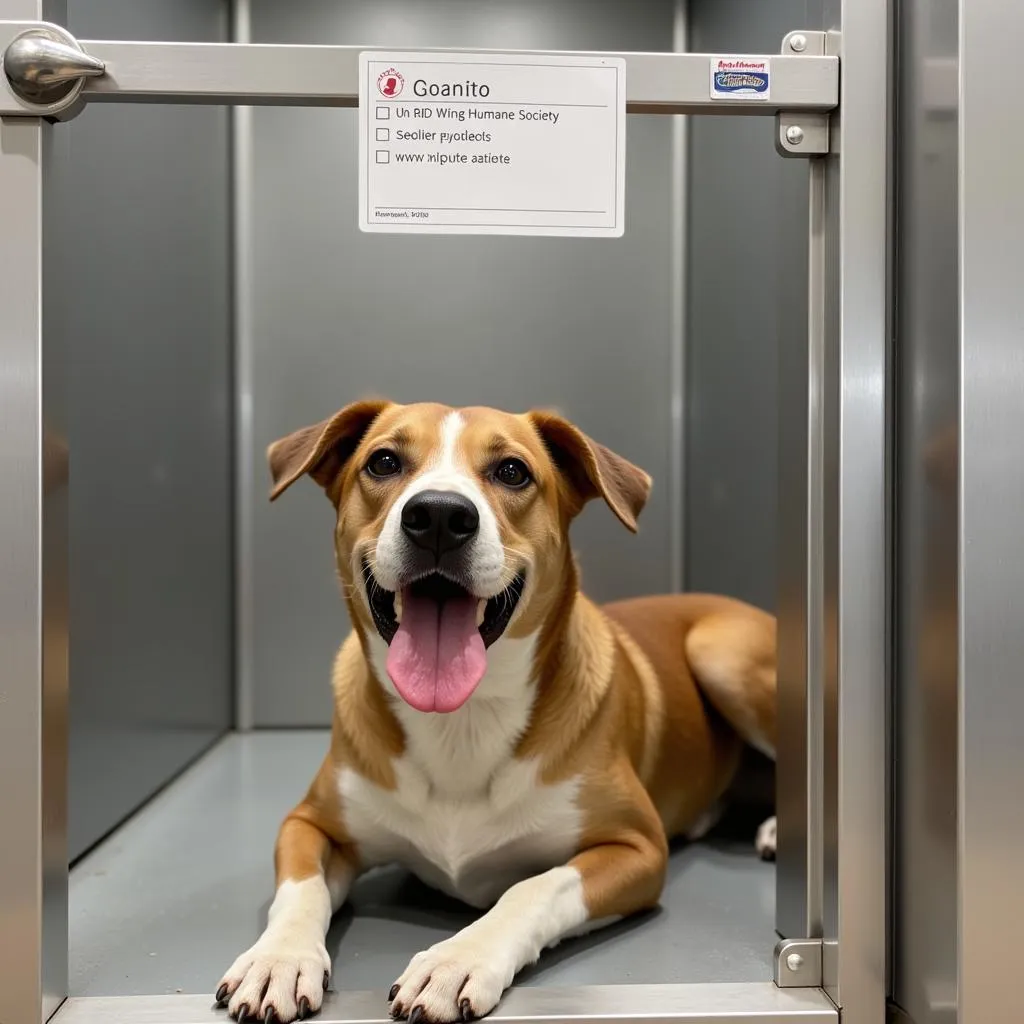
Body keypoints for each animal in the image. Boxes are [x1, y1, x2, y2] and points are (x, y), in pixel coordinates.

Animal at [216, 399, 774, 1024]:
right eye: (383, 461)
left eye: (512, 471)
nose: (438, 516)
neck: (460, 720)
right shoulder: (309, 824)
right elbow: (300, 889)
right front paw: (278, 960)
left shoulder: (637, 847)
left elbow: (531, 888)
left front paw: (457, 959)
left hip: (721, 654)